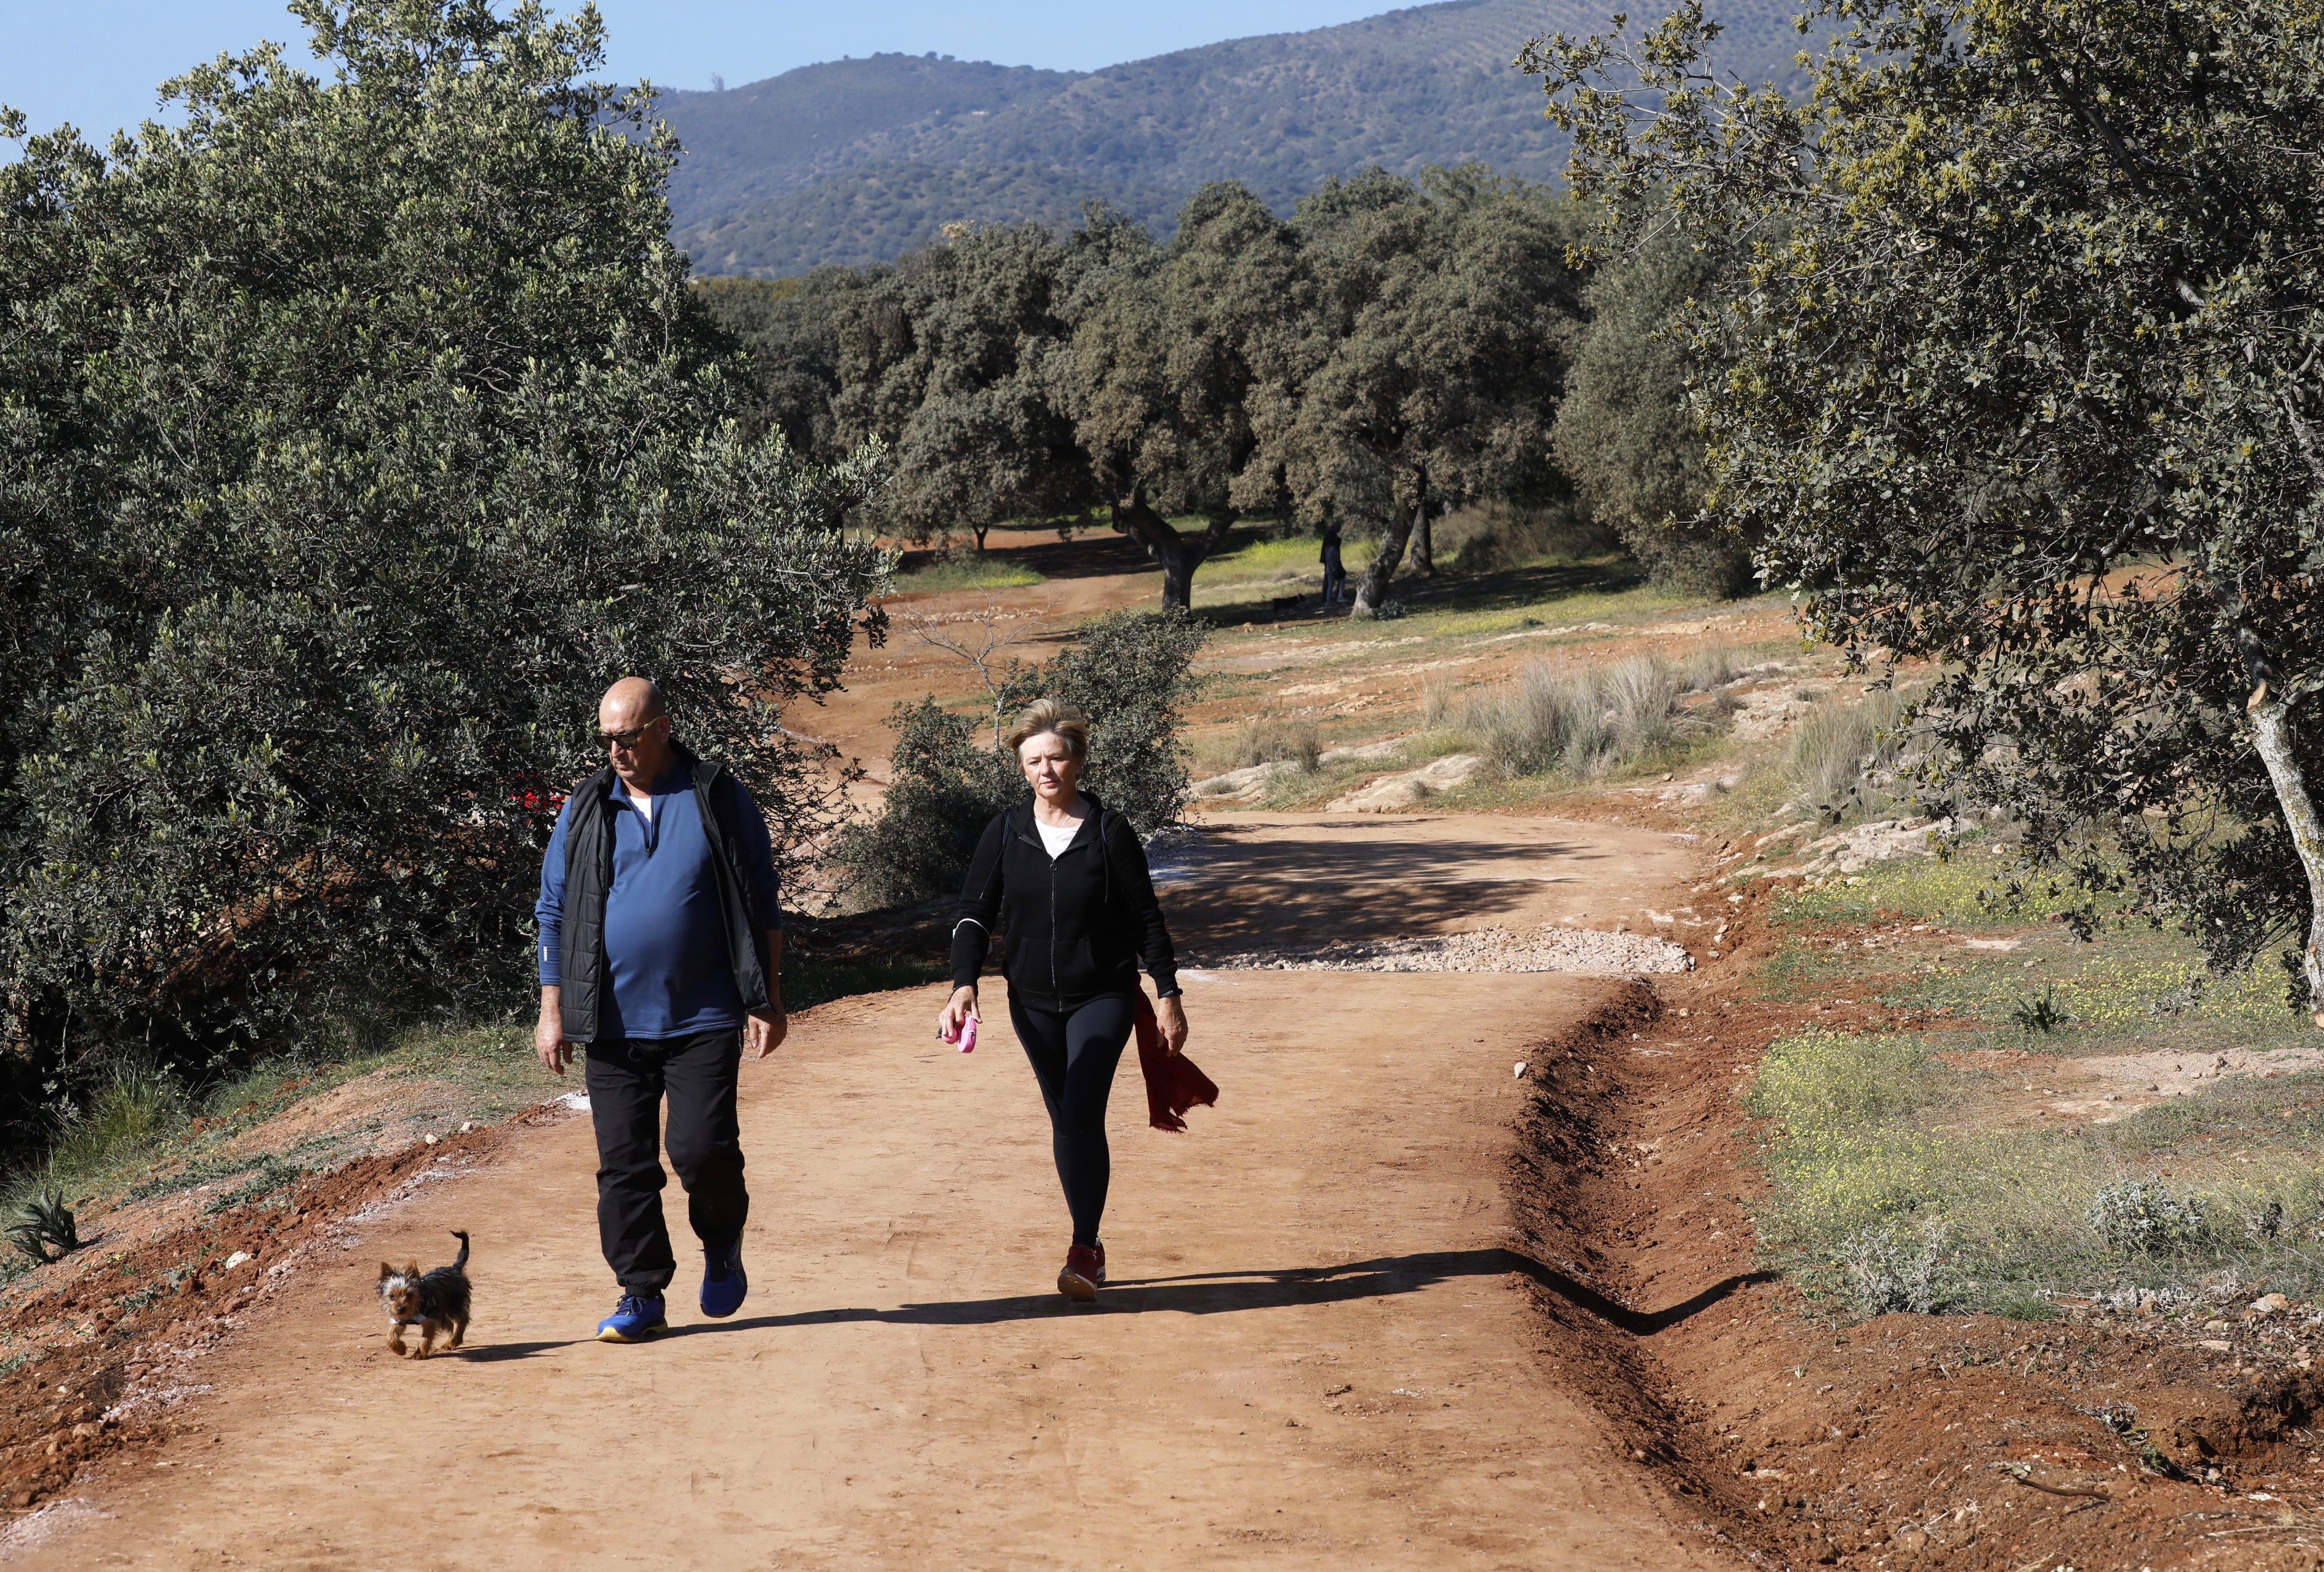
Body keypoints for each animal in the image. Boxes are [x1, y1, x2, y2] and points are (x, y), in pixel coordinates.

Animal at [376, 1226, 472, 1347]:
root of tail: (454, 1269)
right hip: (442, 1310)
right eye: (392, 1296)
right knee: (450, 1323)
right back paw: (448, 1342)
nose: (401, 1309)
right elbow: (391, 1336)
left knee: (463, 1319)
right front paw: (400, 1348)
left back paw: (456, 1340)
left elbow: (425, 1340)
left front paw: (420, 1351)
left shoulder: (430, 1321)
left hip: (455, 1303)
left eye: (410, 1295)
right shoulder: (399, 1320)